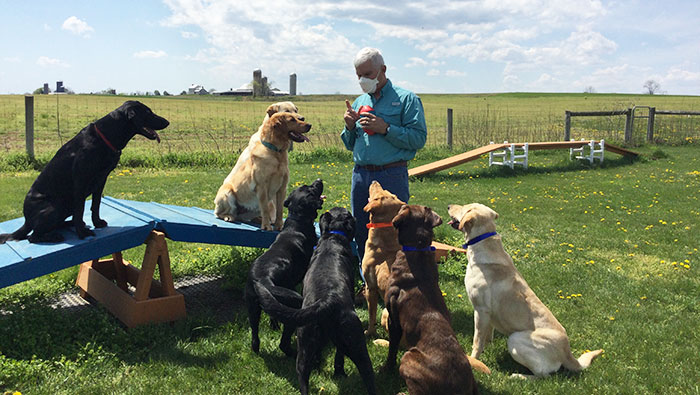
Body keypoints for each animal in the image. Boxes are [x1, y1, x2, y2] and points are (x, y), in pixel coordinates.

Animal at [0, 100, 170, 244]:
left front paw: (97, 223)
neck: (106, 136)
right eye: (148, 112)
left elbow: (96, 204)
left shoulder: (101, 179)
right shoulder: (81, 180)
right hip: (54, 207)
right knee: (33, 237)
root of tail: (26, 220)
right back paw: (56, 235)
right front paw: (82, 233)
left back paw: (70, 223)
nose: (167, 122)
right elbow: (81, 208)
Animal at [245, 179, 324, 358]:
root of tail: (263, 280)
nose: (319, 180)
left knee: (255, 336)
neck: (297, 220)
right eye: (311, 189)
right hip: (293, 303)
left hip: (252, 307)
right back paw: (291, 352)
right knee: (284, 340)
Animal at [256, 207, 378, 395]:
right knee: (367, 373)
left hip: (307, 340)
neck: (334, 237)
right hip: (355, 339)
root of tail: (327, 301)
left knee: (303, 374)